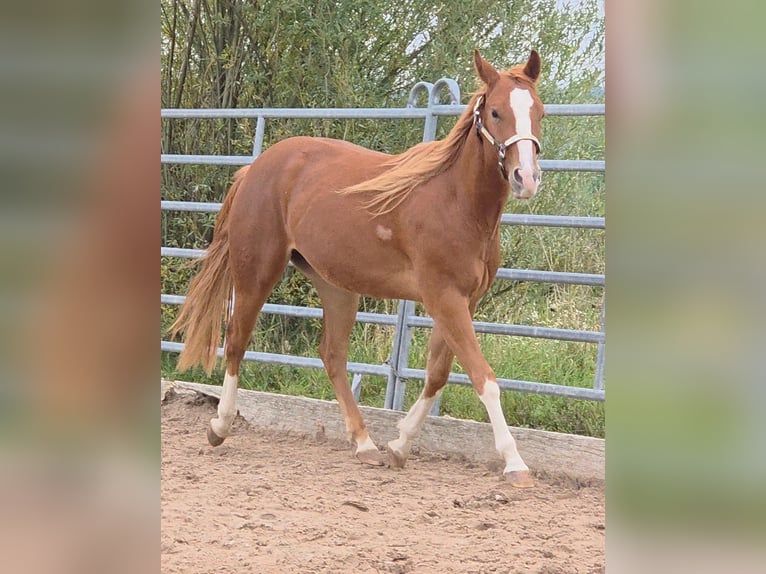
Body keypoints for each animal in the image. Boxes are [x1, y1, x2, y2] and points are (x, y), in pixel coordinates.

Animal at [170, 50, 544, 488]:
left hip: (336, 287)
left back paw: (365, 445)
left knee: (332, 354)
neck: (457, 202)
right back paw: (220, 426)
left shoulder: (462, 302)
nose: (526, 178)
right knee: (237, 341)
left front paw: (399, 446)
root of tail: (255, 168)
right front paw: (515, 463)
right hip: (257, 270)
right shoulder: (444, 298)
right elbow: (484, 378)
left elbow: (438, 375)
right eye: (497, 112)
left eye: (538, 111)